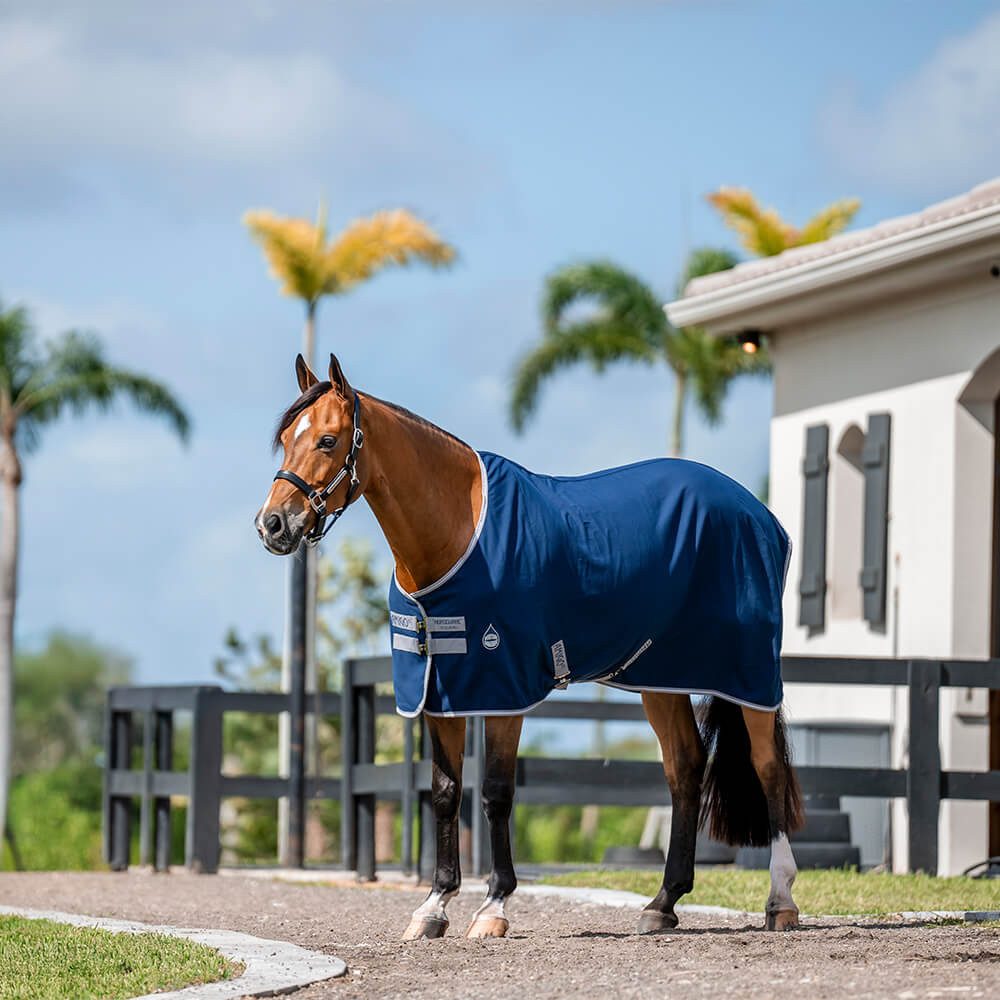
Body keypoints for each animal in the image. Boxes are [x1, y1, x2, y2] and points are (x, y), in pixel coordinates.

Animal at [256, 353, 804, 939]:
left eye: (328, 440)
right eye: (286, 438)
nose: (272, 525)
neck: (457, 531)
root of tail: (761, 515)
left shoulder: (503, 688)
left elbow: (495, 792)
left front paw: (493, 907)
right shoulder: (440, 690)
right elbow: (445, 793)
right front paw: (433, 907)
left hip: (748, 672)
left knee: (767, 767)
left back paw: (780, 901)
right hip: (660, 678)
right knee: (685, 767)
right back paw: (663, 902)